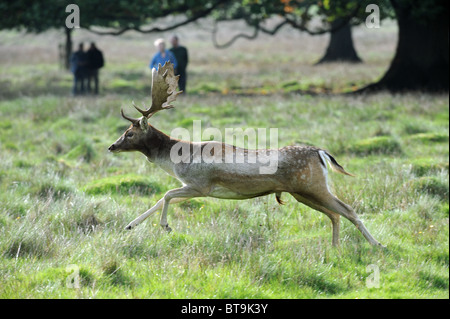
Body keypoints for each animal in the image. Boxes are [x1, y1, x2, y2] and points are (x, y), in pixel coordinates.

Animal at [109, 62, 384, 248]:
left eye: (129, 133)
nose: (112, 146)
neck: (177, 160)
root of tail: (321, 153)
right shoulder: (192, 187)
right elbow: (160, 199)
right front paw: (130, 225)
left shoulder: (200, 185)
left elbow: (165, 195)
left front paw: (166, 226)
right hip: (302, 192)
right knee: (335, 214)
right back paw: (335, 247)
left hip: (312, 185)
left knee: (348, 209)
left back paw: (377, 245)